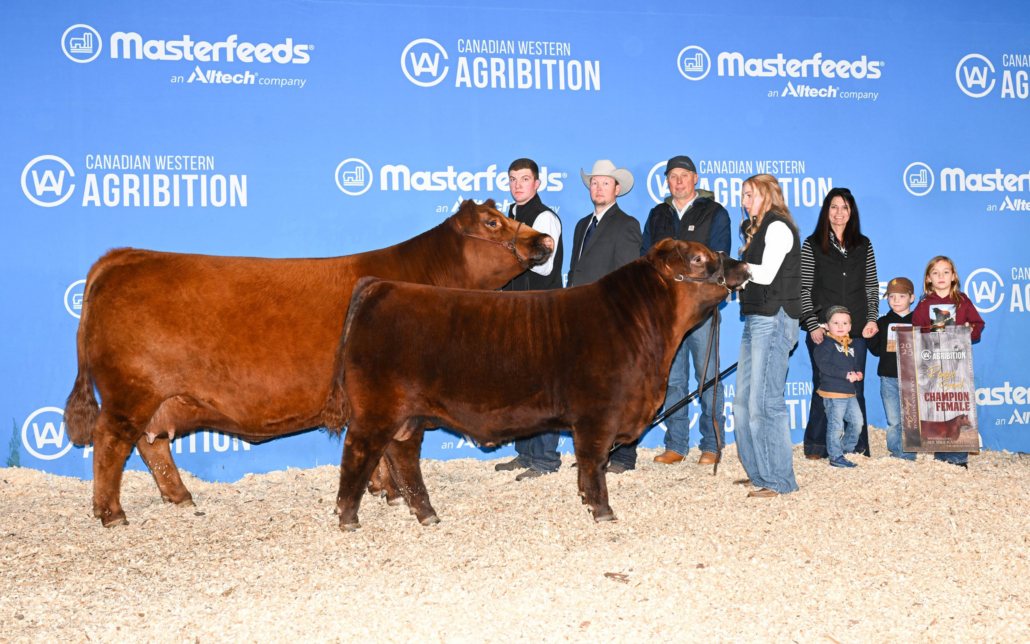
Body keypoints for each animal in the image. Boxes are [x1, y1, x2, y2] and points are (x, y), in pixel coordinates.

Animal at [64, 200, 554, 527]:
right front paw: (393, 494)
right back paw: (111, 513)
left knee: (152, 444)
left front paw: (383, 491)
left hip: (159, 397)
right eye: (492, 222)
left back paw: (181, 497)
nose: (545, 239)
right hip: (131, 390)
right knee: (111, 442)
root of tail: (124, 255)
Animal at [328, 239, 750, 530]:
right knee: (359, 453)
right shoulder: (597, 414)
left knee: (402, 457)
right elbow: (594, 460)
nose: (744, 265)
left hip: (409, 416)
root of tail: (381, 286)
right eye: (698, 259)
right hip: (377, 409)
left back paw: (427, 514)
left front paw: (588, 501)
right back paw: (348, 517)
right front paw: (602, 510)